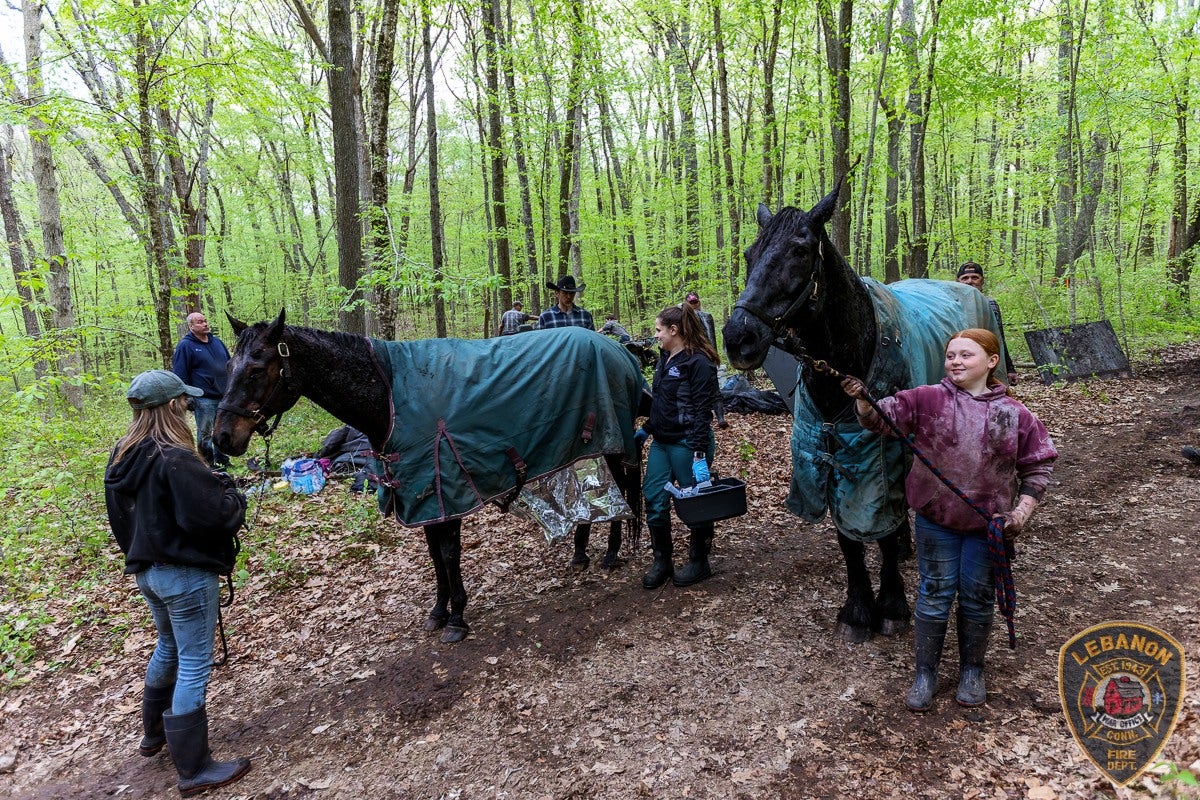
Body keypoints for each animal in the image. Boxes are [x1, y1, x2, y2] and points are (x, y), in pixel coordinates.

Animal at [214, 311, 648, 642]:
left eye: (256, 369)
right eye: (227, 367)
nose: (220, 438)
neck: (391, 397)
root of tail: (618, 350)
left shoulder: (446, 492)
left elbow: (449, 554)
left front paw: (457, 618)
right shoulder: (419, 496)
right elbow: (435, 556)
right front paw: (439, 612)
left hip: (614, 444)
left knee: (623, 491)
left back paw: (611, 553)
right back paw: (580, 553)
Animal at [720, 184, 1003, 642]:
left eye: (800, 251)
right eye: (749, 253)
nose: (737, 339)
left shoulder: (878, 455)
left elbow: (881, 531)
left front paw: (890, 605)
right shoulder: (831, 455)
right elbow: (849, 538)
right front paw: (857, 608)